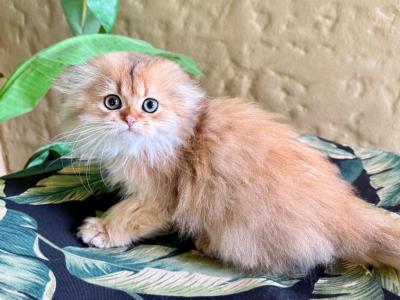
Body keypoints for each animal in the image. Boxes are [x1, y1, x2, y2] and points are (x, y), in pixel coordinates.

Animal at [54, 51, 400, 274]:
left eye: (149, 105)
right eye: (112, 102)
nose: (129, 120)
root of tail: (343, 211)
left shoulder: (160, 196)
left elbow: (127, 214)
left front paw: (102, 230)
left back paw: (207, 243)